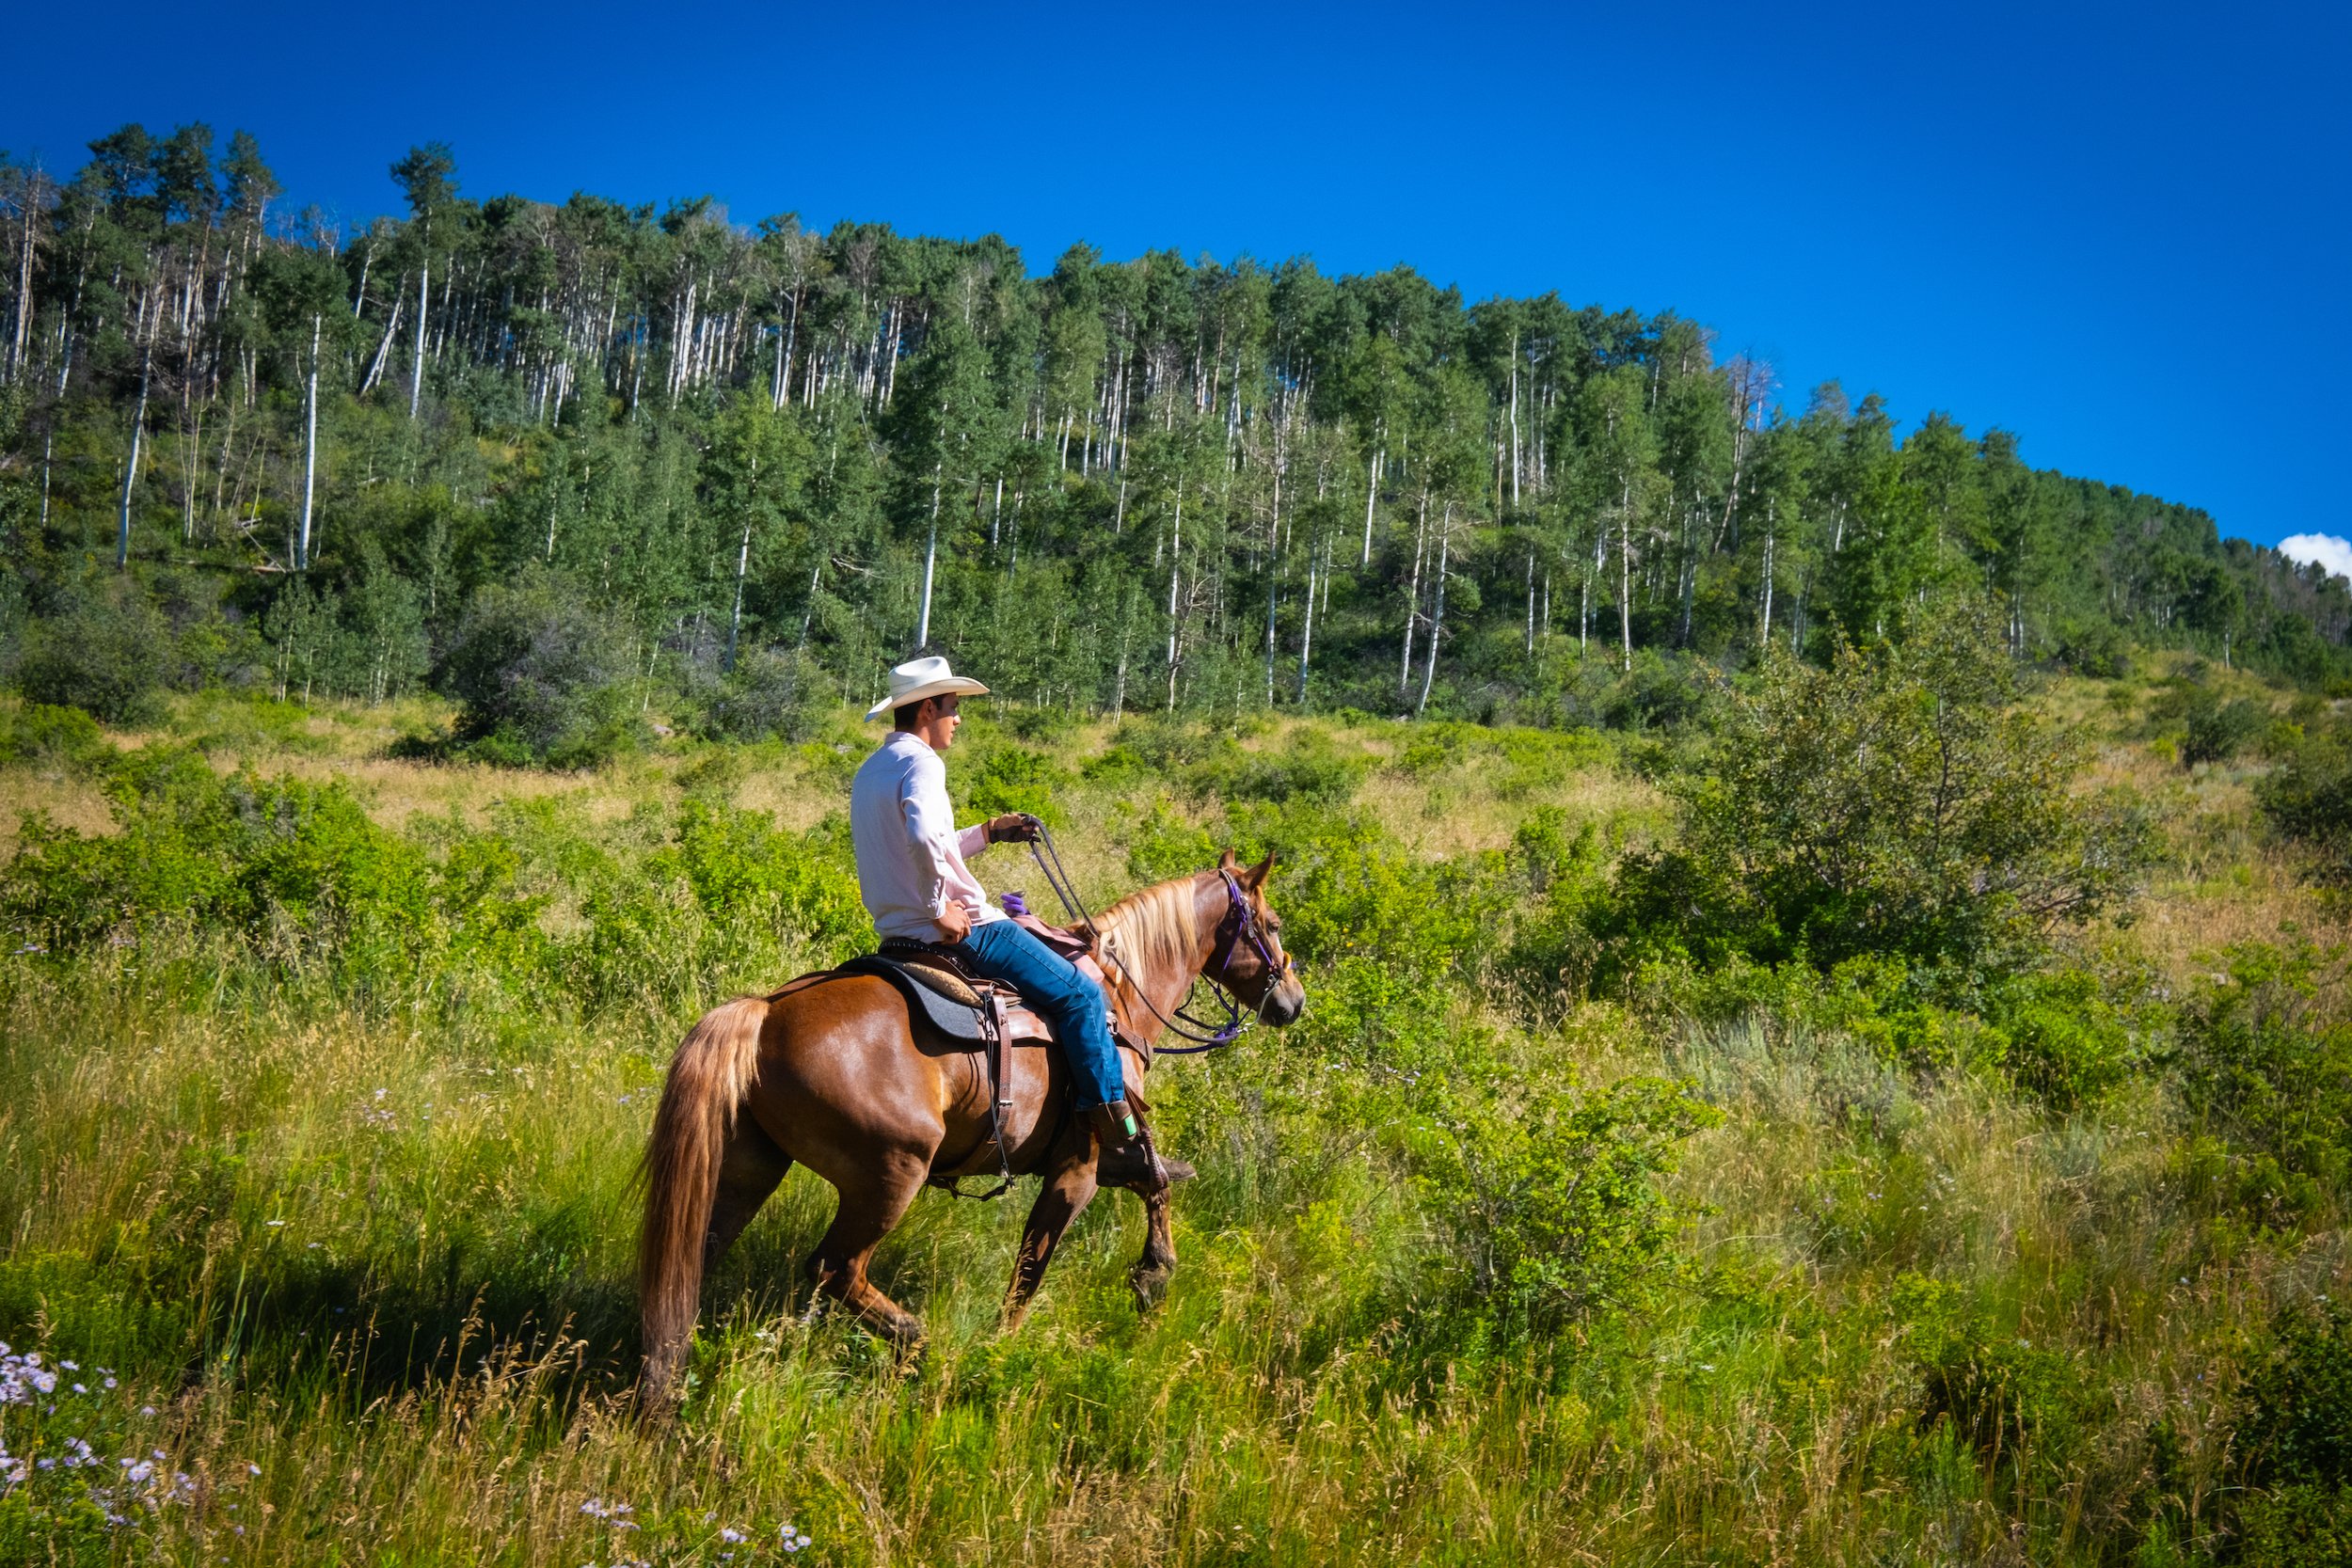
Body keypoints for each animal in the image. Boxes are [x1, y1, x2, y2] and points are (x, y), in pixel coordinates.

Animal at [644, 850, 1308, 1391]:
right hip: (890, 1177)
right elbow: (1031, 1270)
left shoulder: (1109, 1162)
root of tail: (762, 1015)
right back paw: (917, 1341)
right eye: (1272, 925)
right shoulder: (1080, 1168)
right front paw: (1010, 1347)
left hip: (748, 1169)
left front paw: (1152, 1274)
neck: (1120, 996)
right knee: (836, 1269)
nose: (1293, 1002)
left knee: (696, 1259)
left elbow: (1157, 1181)